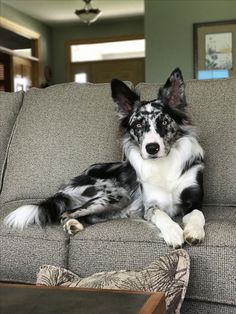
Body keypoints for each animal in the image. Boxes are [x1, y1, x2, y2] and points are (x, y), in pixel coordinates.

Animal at [4, 68, 206, 248]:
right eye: (138, 124)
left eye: (164, 121)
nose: (152, 148)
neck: (164, 165)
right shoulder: (150, 207)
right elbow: (161, 215)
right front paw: (173, 232)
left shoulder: (195, 201)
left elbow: (198, 214)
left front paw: (194, 231)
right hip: (116, 195)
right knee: (66, 213)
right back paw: (71, 223)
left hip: (118, 205)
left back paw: (75, 225)